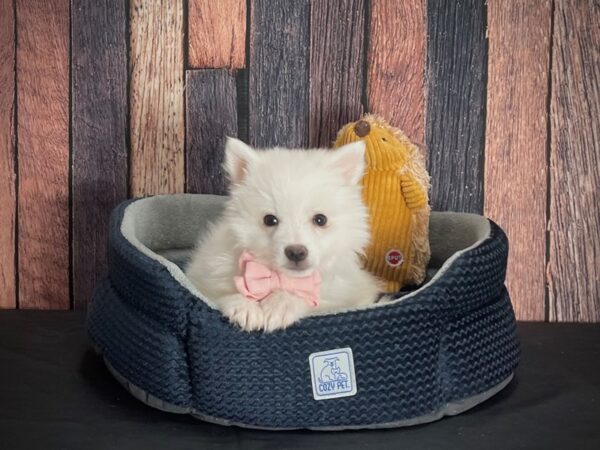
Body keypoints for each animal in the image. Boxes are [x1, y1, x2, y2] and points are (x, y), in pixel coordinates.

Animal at [185, 137, 382, 330]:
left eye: (320, 220)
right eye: (270, 220)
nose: (296, 252)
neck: (281, 278)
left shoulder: (345, 294)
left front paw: (281, 304)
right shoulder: (204, 278)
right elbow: (219, 294)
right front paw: (244, 305)